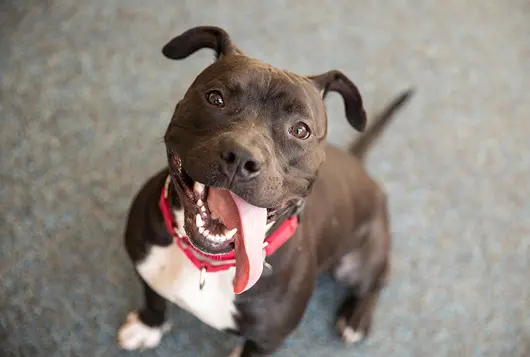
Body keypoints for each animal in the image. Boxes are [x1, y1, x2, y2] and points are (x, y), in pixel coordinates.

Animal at [117, 25, 410, 356]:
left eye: (300, 130)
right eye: (215, 98)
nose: (241, 157)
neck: (207, 263)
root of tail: (356, 161)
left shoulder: (268, 340)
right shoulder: (145, 264)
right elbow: (153, 298)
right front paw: (147, 326)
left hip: (360, 259)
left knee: (376, 280)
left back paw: (357, 319)